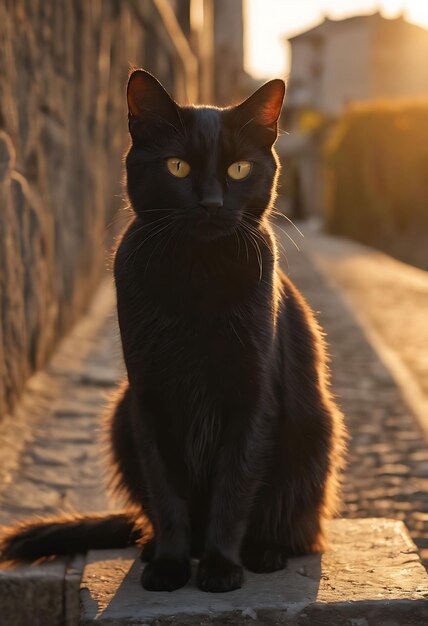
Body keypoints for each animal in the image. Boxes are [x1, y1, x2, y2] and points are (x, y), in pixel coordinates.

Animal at [0, 70, 346, 592]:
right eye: (177, 167)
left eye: (239, 169)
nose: (211, 203)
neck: (196, 274)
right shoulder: (148, 396)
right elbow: (166, 494)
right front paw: (169, 564)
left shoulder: (251, 396)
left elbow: (234, 487)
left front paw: (221, 568)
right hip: (119, 417)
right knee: (149, 512)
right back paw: (152, 548)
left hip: (316, 431)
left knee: (298, 529)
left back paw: (263, 553)